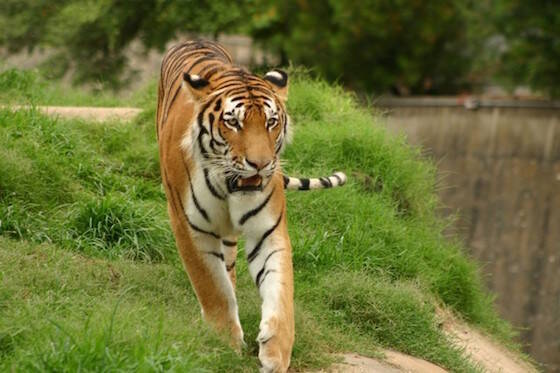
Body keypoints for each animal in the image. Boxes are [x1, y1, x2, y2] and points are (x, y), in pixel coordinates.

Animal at [155, 39, 344, 370]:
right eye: (233, 122)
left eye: (271, 122)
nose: (261, 164)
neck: (228, 188)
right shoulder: (189, 227)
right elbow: (212, 287)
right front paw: (225, 342)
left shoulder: (267, 231)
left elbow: (280, 291)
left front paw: (276, 353)